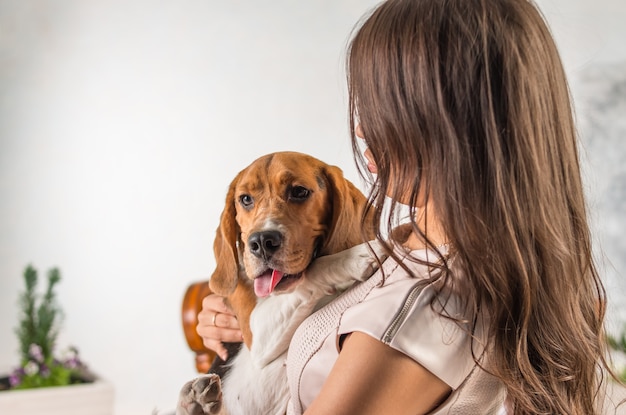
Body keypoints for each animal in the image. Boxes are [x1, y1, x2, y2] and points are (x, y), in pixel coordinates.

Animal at [177, 153, 380, 415]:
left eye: (299, 192)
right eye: (245, 199)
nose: (261, 242)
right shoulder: (256, 334)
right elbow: (314, 271)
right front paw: (356, 256)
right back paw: (195, 402)